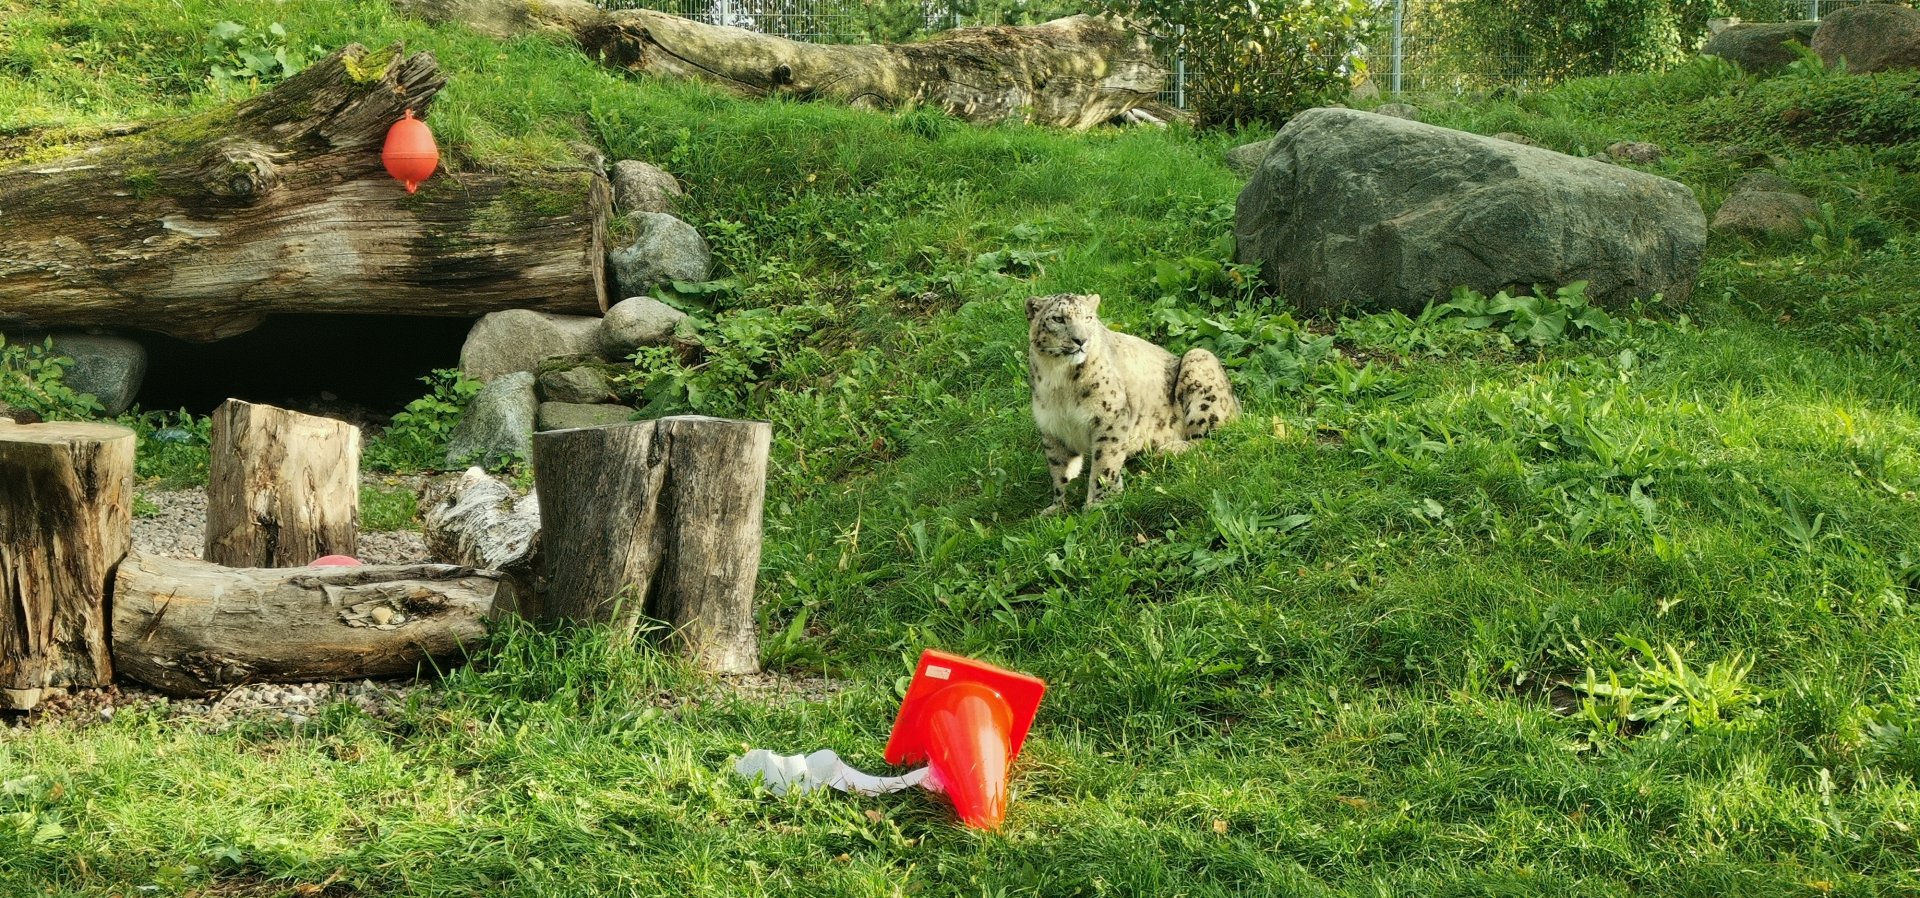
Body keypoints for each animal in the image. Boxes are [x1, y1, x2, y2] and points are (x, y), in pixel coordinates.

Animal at [1026, 292, 1239, 514]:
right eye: (1058, 319)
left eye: (1088, 318)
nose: (1081, 340)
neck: (1058, 379)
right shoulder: (1052, 427)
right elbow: (1059, 469)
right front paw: (1056, 508)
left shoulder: (1109, 417)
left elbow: (1105, 462)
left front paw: (1098, 503)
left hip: (1200, 364)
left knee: (1218, 438)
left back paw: (1169, 450)